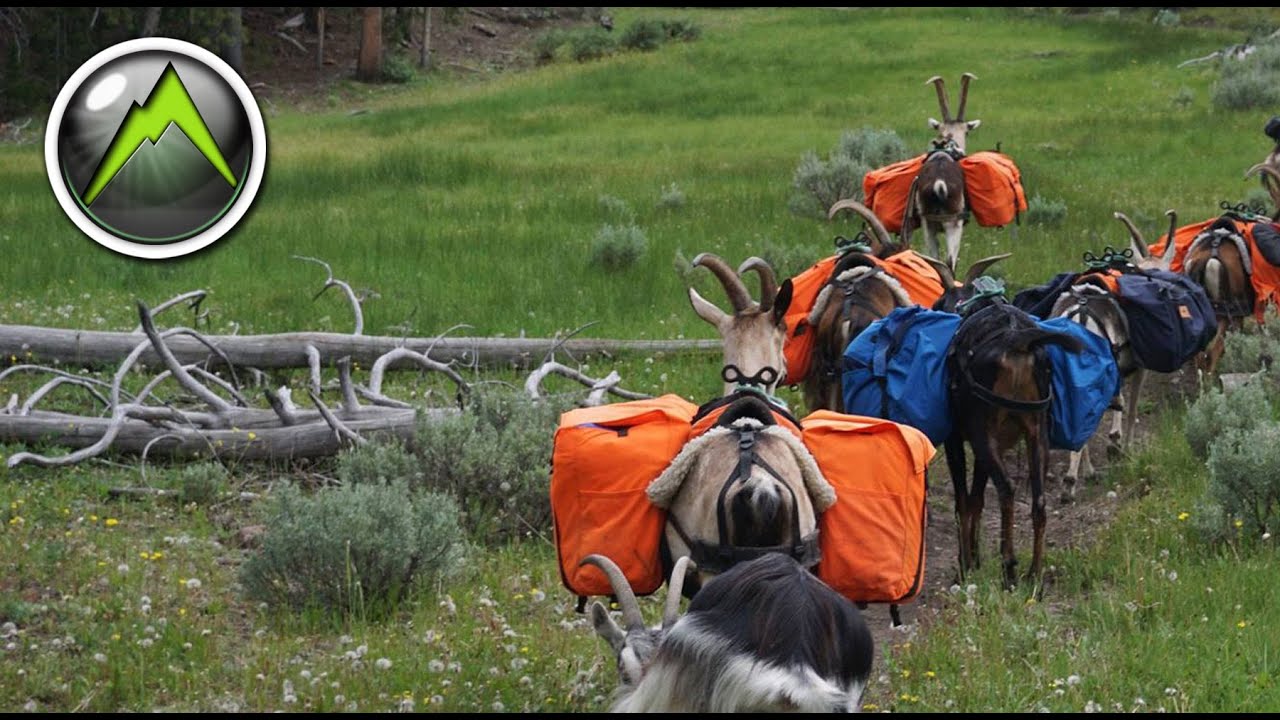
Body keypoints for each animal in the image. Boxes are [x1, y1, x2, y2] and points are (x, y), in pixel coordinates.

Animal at [903, 73, 981, 271]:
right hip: (952, 225)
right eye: (967, 132)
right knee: (948, 261)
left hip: (928, 225)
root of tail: (939, 183)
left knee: (934, 259)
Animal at [929, 255, 1084, 588]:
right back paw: (1034, 574)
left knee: (1008, 489)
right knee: (1038, 501)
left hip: (984, 432)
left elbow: (964, 500)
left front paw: (965, 564)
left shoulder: (957, 438)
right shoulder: (994, 441)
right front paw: (975, 558)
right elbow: (976, 498)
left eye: (939, 300)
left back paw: (1009, 565)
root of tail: (1017, 342)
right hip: (1036, 432)